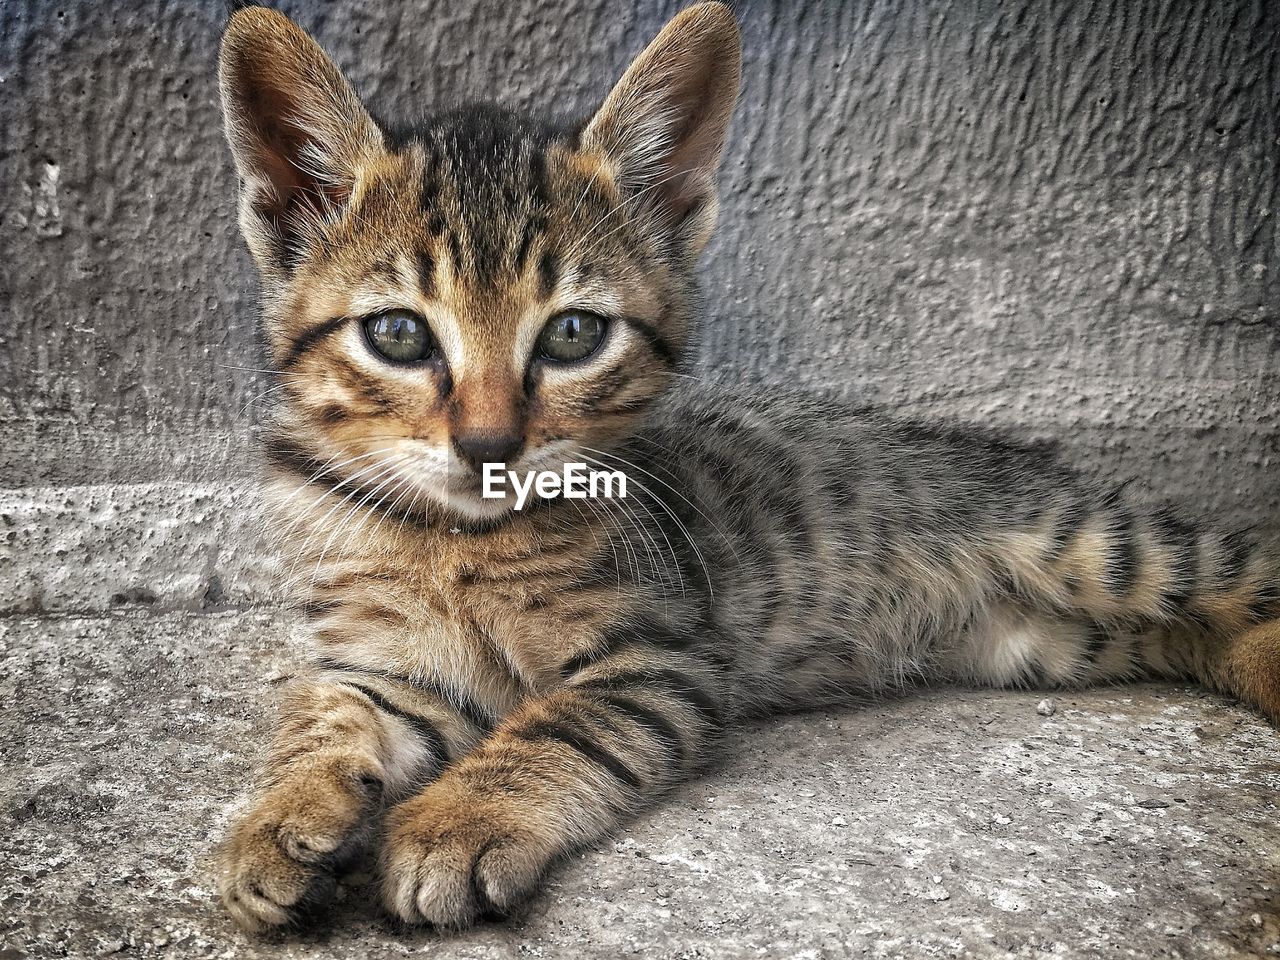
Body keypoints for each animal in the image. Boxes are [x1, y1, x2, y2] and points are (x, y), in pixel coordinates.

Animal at [217, 0, 1280, 931]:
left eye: (572, 335)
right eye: (398, 334)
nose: (488, 446)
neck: (454, 540)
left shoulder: (661, 658)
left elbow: (555, 728)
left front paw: (453, 819)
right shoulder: (381, 662)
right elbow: (325, 719)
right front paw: (279, 822)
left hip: (1093, 546)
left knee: (1236, 580)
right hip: (1049, 642)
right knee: (1183, 633)